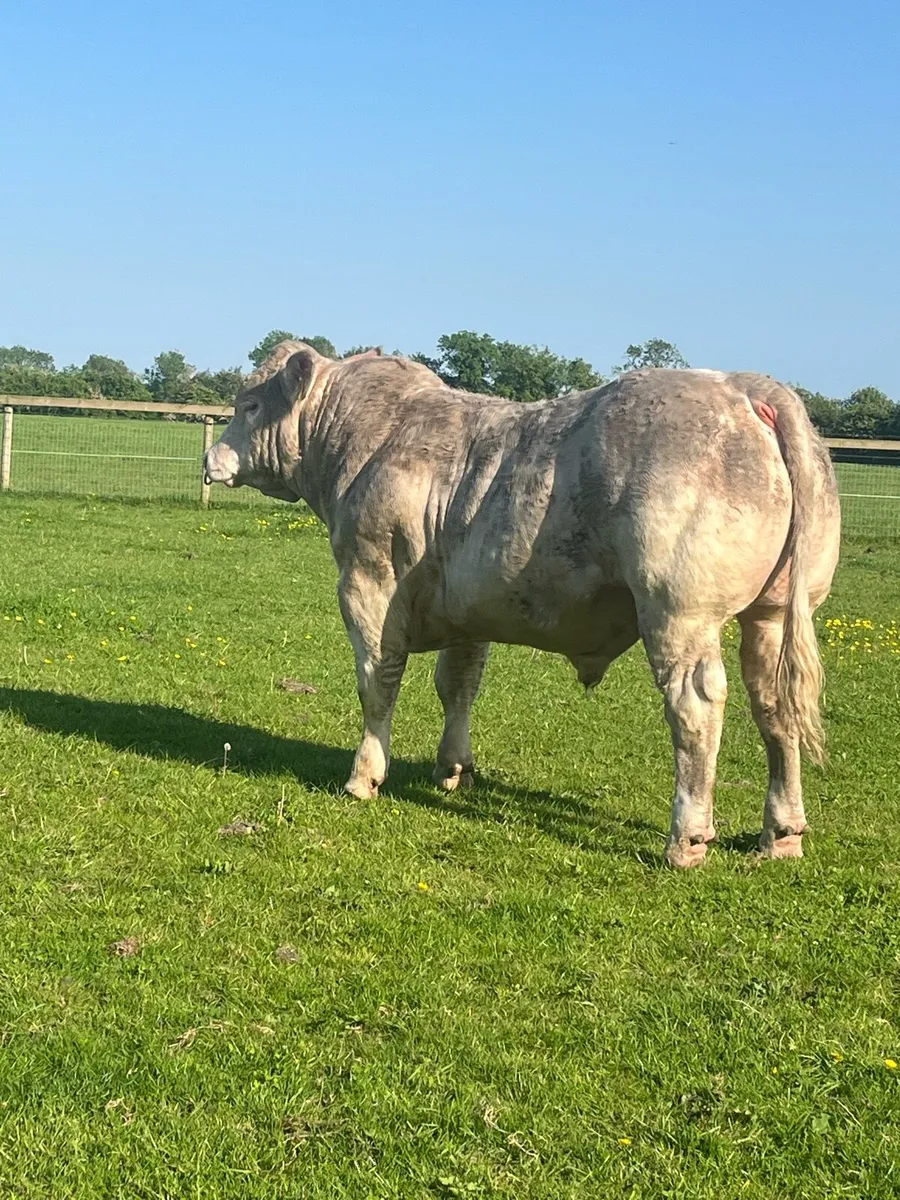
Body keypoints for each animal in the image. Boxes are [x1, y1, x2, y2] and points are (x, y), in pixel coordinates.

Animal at [204, 341, 841, 868]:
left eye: (250, 405)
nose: (211, 460)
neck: (365, 440)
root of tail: (747, 386)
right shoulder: (466, 605)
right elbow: (458, 685)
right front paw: (453, 767)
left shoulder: (368, 581)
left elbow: (378, 681)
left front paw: (364, 776)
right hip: (774, 613)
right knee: (774, 705)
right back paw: (781, 834)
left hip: (680, 614)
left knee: (696, 708)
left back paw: (686, 839)